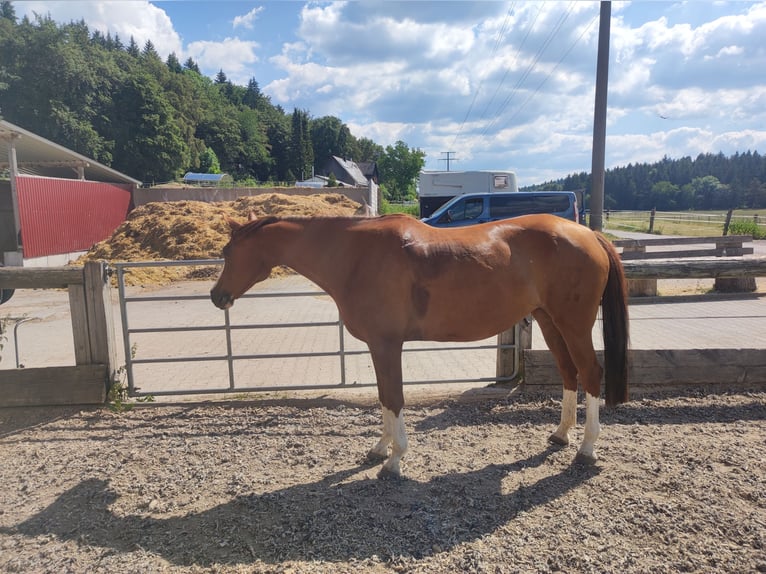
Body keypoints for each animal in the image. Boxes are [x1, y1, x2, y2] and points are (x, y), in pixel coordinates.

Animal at [212, 214, 632, 480]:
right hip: (548, 320)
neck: (355, 254)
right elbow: (384, 397)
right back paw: (561, 434)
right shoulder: (379, 347)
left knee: (590, 373)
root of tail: (590, 235)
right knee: (568, 372)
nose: (217, 296)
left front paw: (394, 460)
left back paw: (586, 448)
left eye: (228, 253)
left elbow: (395, 398)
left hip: (573, 323)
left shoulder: (387, 346)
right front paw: (380, 448)